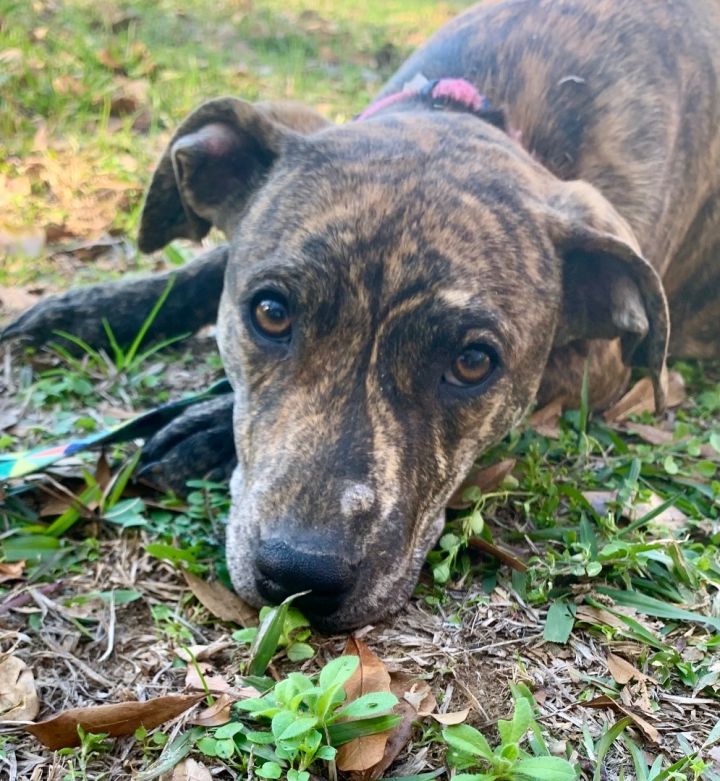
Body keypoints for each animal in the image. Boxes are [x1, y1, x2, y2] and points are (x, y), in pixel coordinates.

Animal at [5, 0, 720, 632]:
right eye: (270, 313)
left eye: (473, 362)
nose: (299, 576)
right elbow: (202, 269)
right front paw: (86, 311)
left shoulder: (600, 365)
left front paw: (201, 424)